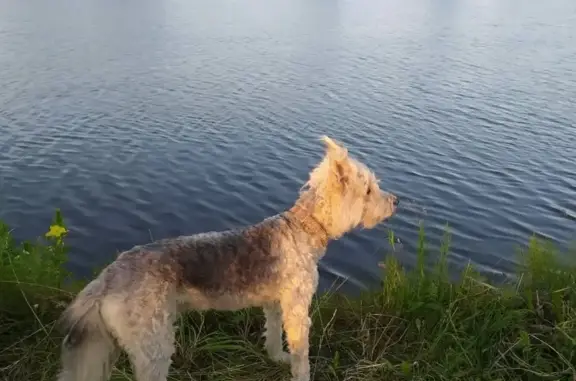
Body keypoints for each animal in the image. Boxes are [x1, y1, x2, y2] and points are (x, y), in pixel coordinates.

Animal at [56, 137, 398, 380]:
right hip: (153, 346)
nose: (395, 200)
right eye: (369, 190)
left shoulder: (276, 304)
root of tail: (107, 278)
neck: (304, 229)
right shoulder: (298, 310)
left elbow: (273, 336)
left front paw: (277, 358)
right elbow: (302, 357)